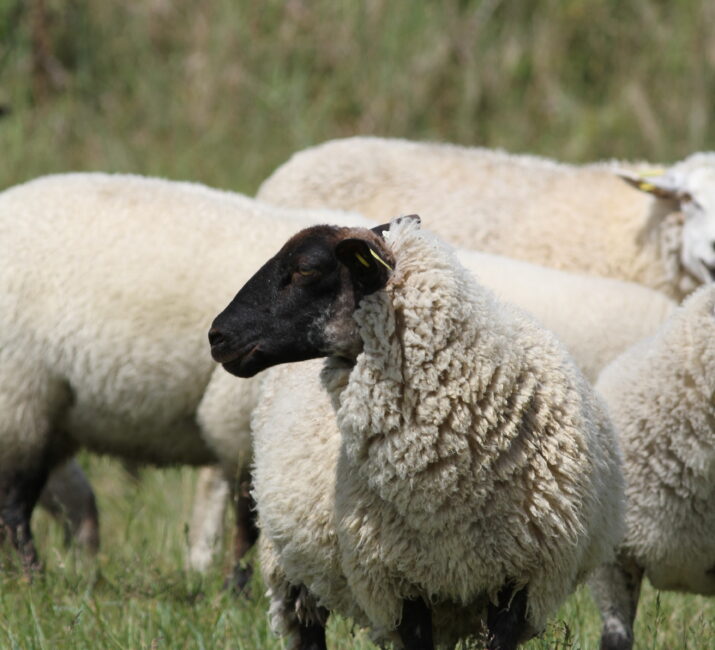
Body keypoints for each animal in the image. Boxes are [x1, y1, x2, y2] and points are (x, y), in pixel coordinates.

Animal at [0, 171, 371, 577]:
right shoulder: (238, 423)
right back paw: (30, 576)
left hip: (52, 418)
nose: (219, 335)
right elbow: (247, 520)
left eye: (305, 270)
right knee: (13, 505)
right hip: (18, 398)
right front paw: (234, 584)